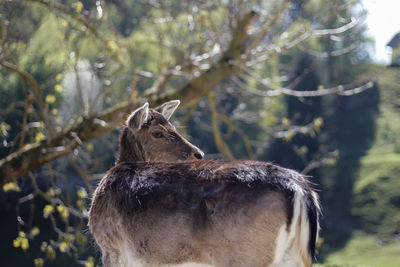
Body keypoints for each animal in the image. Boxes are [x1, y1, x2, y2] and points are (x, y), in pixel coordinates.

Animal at [89, 100, 320, 267]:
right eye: (157, 132)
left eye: (173, 126)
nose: (198, 153)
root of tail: (300, 189)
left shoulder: (111, 245)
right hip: (293, 257)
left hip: (246, 254)